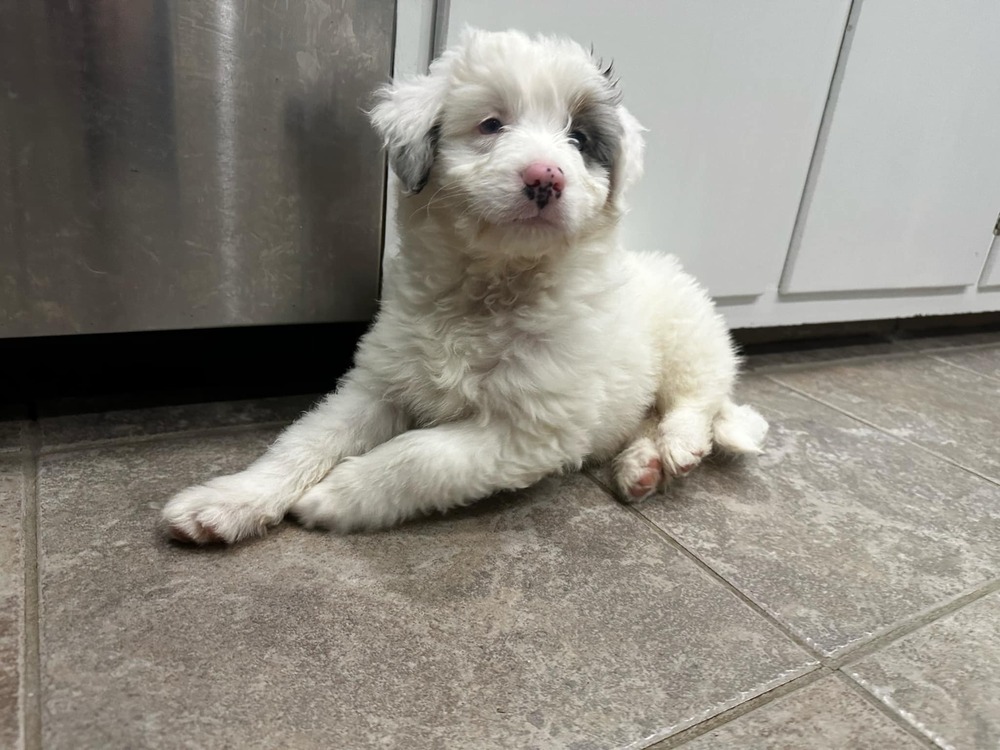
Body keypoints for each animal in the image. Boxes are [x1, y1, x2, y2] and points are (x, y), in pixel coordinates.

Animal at [162, 29, 764, 544]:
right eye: (491, 125)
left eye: (579, 138)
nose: (547, 177)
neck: (486, 293)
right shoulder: (378, 384)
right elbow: (304, 439)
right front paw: (227, 502)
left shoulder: (528, 428)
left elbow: (422, 454)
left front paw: (336, 495)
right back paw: (642, 466)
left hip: (691, 333)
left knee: (699, 400)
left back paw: (676, 448)